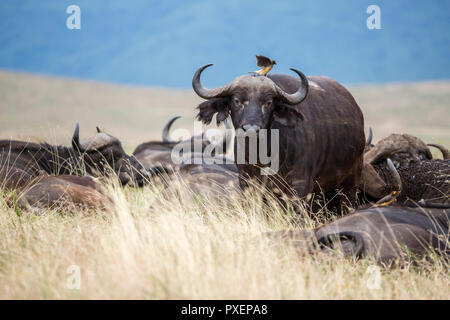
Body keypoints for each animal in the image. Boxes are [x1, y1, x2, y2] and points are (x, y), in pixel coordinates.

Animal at [192, 63, 366, 211]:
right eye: (237, 101)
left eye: (268, 102)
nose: (251, 129)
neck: (262, 155)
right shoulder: (247, 183)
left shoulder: (300, 185)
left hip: (351, 180)